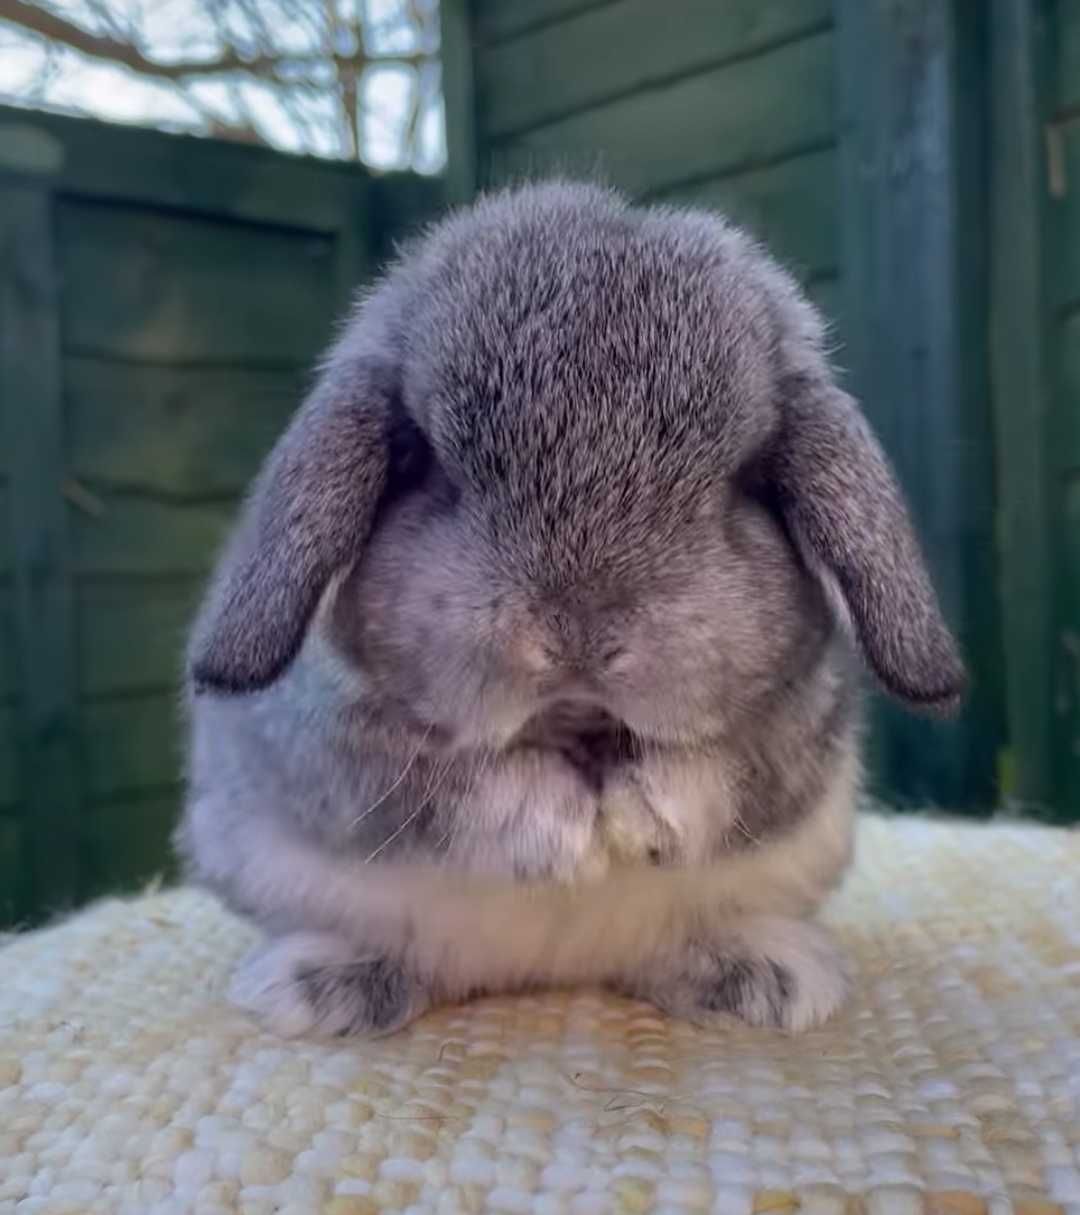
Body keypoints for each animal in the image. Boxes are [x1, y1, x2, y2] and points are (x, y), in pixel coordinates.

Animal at [174, 177, 962, 1035]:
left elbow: (719, 779)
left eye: (751, 478)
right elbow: (459, 795)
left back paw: (761, 977)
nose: (578, 635)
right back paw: (321, 984)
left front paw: (633, 820)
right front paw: (572, 837)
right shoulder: (352, 756)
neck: (580, 732)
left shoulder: (789, 744)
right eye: (423, 461)